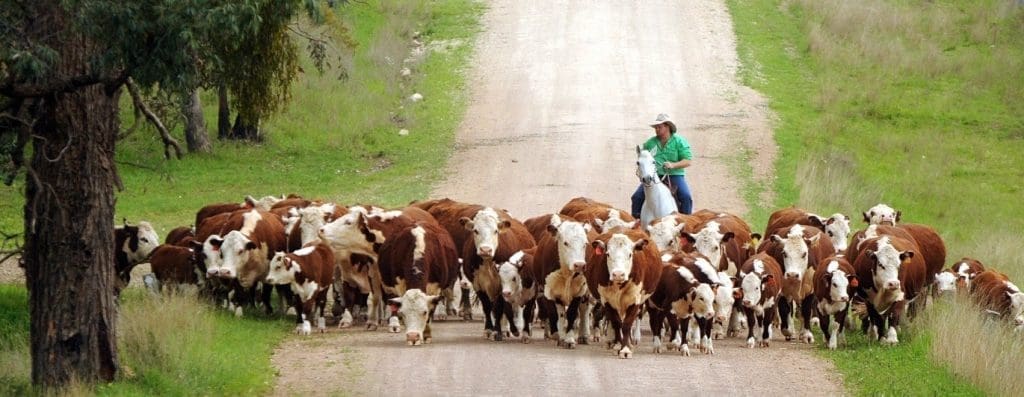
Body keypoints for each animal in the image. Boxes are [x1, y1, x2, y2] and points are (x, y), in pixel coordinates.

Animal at [532, 213, 598, 347]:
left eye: (585, 244)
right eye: (566, 243)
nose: (579, 265)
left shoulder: (579, 292)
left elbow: (572, 314)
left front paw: (569, 339)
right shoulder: (550, 291)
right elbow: (556, 314)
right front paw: (559, 335)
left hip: (586, 292)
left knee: (584, 309)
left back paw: (584, 335)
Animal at [585, 226, 663, 360]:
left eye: (630, 254)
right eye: (608, 254)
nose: (618, 274)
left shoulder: (635, 300)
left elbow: (626, 324)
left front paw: (625, 349)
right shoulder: (606, 300)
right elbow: (616, 323)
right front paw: (618, 345)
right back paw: (613, 341)